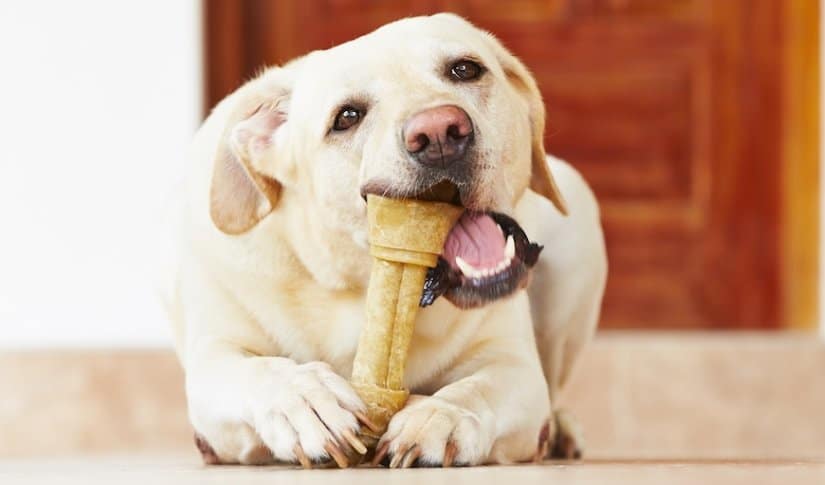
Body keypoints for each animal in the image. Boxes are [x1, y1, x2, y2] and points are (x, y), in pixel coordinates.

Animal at [161, 13, 608, 466]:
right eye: (347, 116)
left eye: (465, 69)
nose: (439, 132)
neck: (357, 285)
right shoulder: (214, 360)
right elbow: (257, 370)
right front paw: (305, 400)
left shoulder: (513, 365)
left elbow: (477, 389)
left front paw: (440, 417)